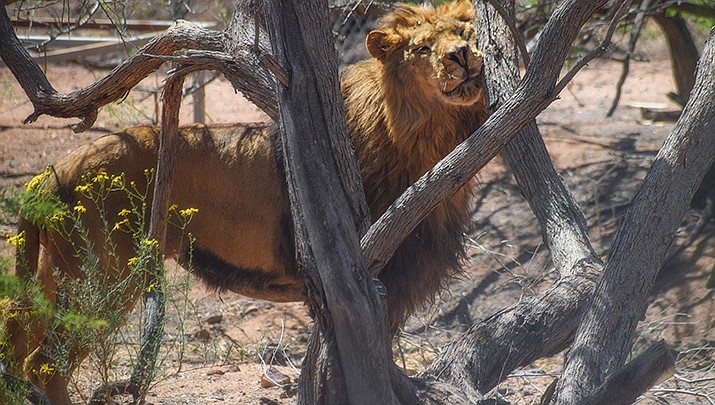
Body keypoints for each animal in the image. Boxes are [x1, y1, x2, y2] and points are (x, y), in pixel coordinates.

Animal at [2, 1, 486, 402]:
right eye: (422, 48)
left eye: (467, 31)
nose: (461, 55)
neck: (427, 137)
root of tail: (49, 175)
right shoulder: (375, 275)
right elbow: (370, 356)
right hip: (102, 278)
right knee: (45, 364)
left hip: (55, 274)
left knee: (17, 341)